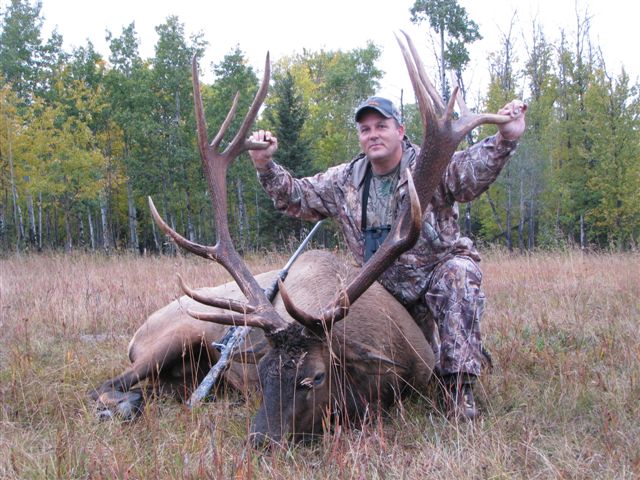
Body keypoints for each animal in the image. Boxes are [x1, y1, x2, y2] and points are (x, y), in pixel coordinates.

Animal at [91, 31, 511, 446]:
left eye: (315, 377)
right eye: (262, 372)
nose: (260, 439)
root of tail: (137, 334)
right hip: (170, 336)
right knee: (105, 386)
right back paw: (122, 405)